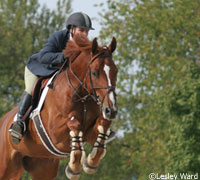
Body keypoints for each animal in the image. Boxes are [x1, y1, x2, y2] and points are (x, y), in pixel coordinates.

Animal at [0, 34, 118, 180]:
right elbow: (74, 124)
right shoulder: (55, 134)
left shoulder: (89, 134)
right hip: (6, 167)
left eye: (116, 71)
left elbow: (103, 125)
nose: (111, 111)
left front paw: (90, 163)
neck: (82, 96)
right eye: (95, 73)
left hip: (41, 166)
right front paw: (74, 168)